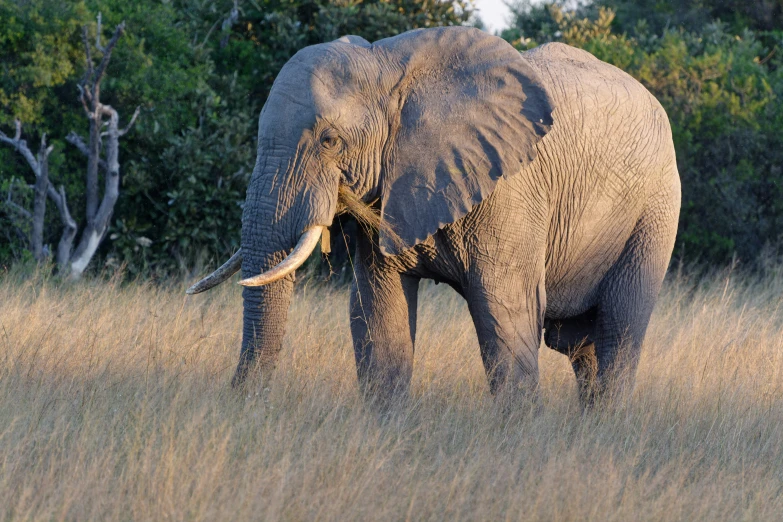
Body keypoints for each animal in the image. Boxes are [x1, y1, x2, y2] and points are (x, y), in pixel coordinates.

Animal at [188, 26, 680, 404]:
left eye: (329, 141)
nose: (243, 404)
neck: (387, 67)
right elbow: (378, 314)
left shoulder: (511, 192)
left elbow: (506, 314)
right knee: (580, 346)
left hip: (656, 210)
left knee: (619, 330)